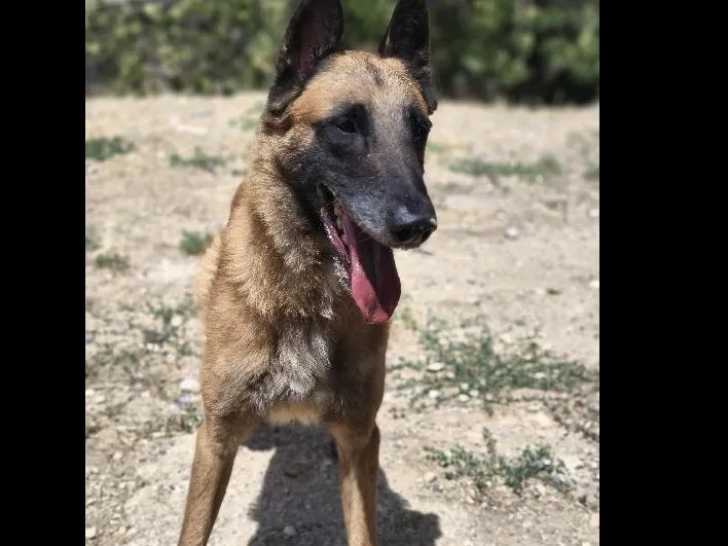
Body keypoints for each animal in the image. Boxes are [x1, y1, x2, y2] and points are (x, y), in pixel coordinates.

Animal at [177, 1, 438, 544]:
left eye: (419, 129)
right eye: (346, 126)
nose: (418, 225)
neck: (306, 294)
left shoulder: (361, 436)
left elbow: (362, 525)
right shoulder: (215, 438)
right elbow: (194, 528)